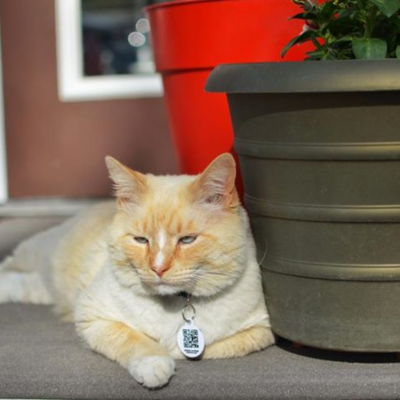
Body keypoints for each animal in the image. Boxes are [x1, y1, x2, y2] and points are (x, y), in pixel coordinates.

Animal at [0, 153, 276, 388]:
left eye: (187, 240)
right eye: (141, 240)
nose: (158, 268)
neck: (175, 304)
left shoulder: (260, 332)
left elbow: (208, 348)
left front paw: (173, 352)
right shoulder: (94, 316)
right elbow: (134, 340)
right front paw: (154, 365)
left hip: (44, 288)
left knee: (21, 285)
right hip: (37, 253)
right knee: (11, 264)